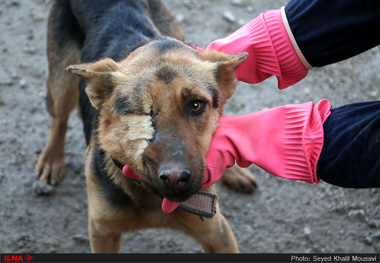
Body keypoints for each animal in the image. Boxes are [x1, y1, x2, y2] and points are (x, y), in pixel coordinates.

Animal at [36, 0, 255, 254]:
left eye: (196, 105)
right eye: (141, 114)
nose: (176, 178)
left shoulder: (217, 232)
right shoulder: (102, 231)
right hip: (62, 83)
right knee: (59, 118)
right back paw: (51, 158)